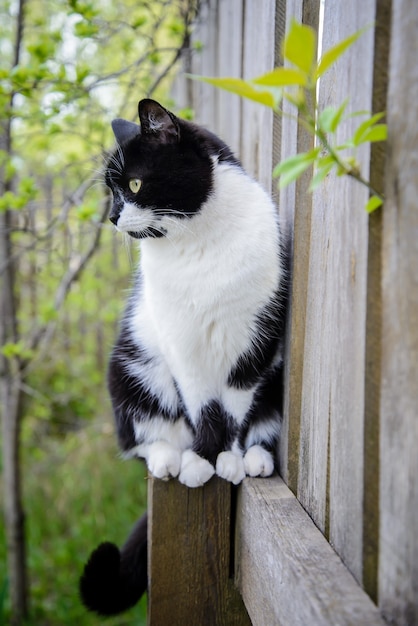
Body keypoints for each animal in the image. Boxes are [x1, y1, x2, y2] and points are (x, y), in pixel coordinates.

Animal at [79, 98, 288, 616]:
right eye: (111, 192)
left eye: (133, 185)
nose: (113, 218)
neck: (196, 242)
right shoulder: (180, 345)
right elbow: (200, 406)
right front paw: (201, 461)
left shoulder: (253, 341)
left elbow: (233, 406)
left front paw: (227, 458)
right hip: (128, 368)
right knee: (143, 435)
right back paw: (169, 459)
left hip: (272, 375)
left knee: (261, 421)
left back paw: (256, 458)